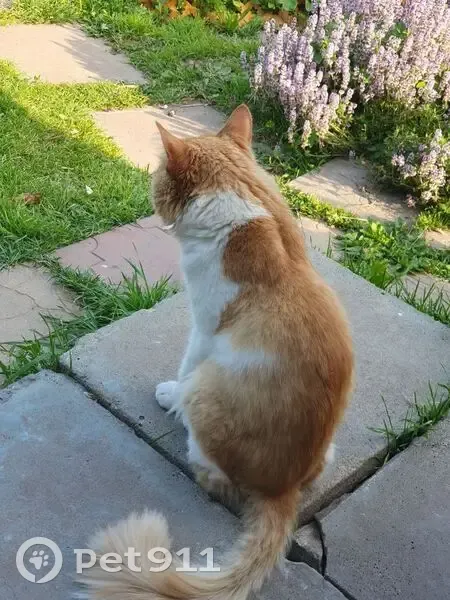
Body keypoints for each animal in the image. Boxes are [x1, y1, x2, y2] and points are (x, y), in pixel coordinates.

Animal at [81, 105, 353, 599]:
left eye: (156, 179)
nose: (149, 194)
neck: (248, 202)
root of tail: (283, 490)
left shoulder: (204, 327)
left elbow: (186, 364)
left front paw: (168, 395)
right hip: (328, 449)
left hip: (207, 397)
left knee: (215, 475)